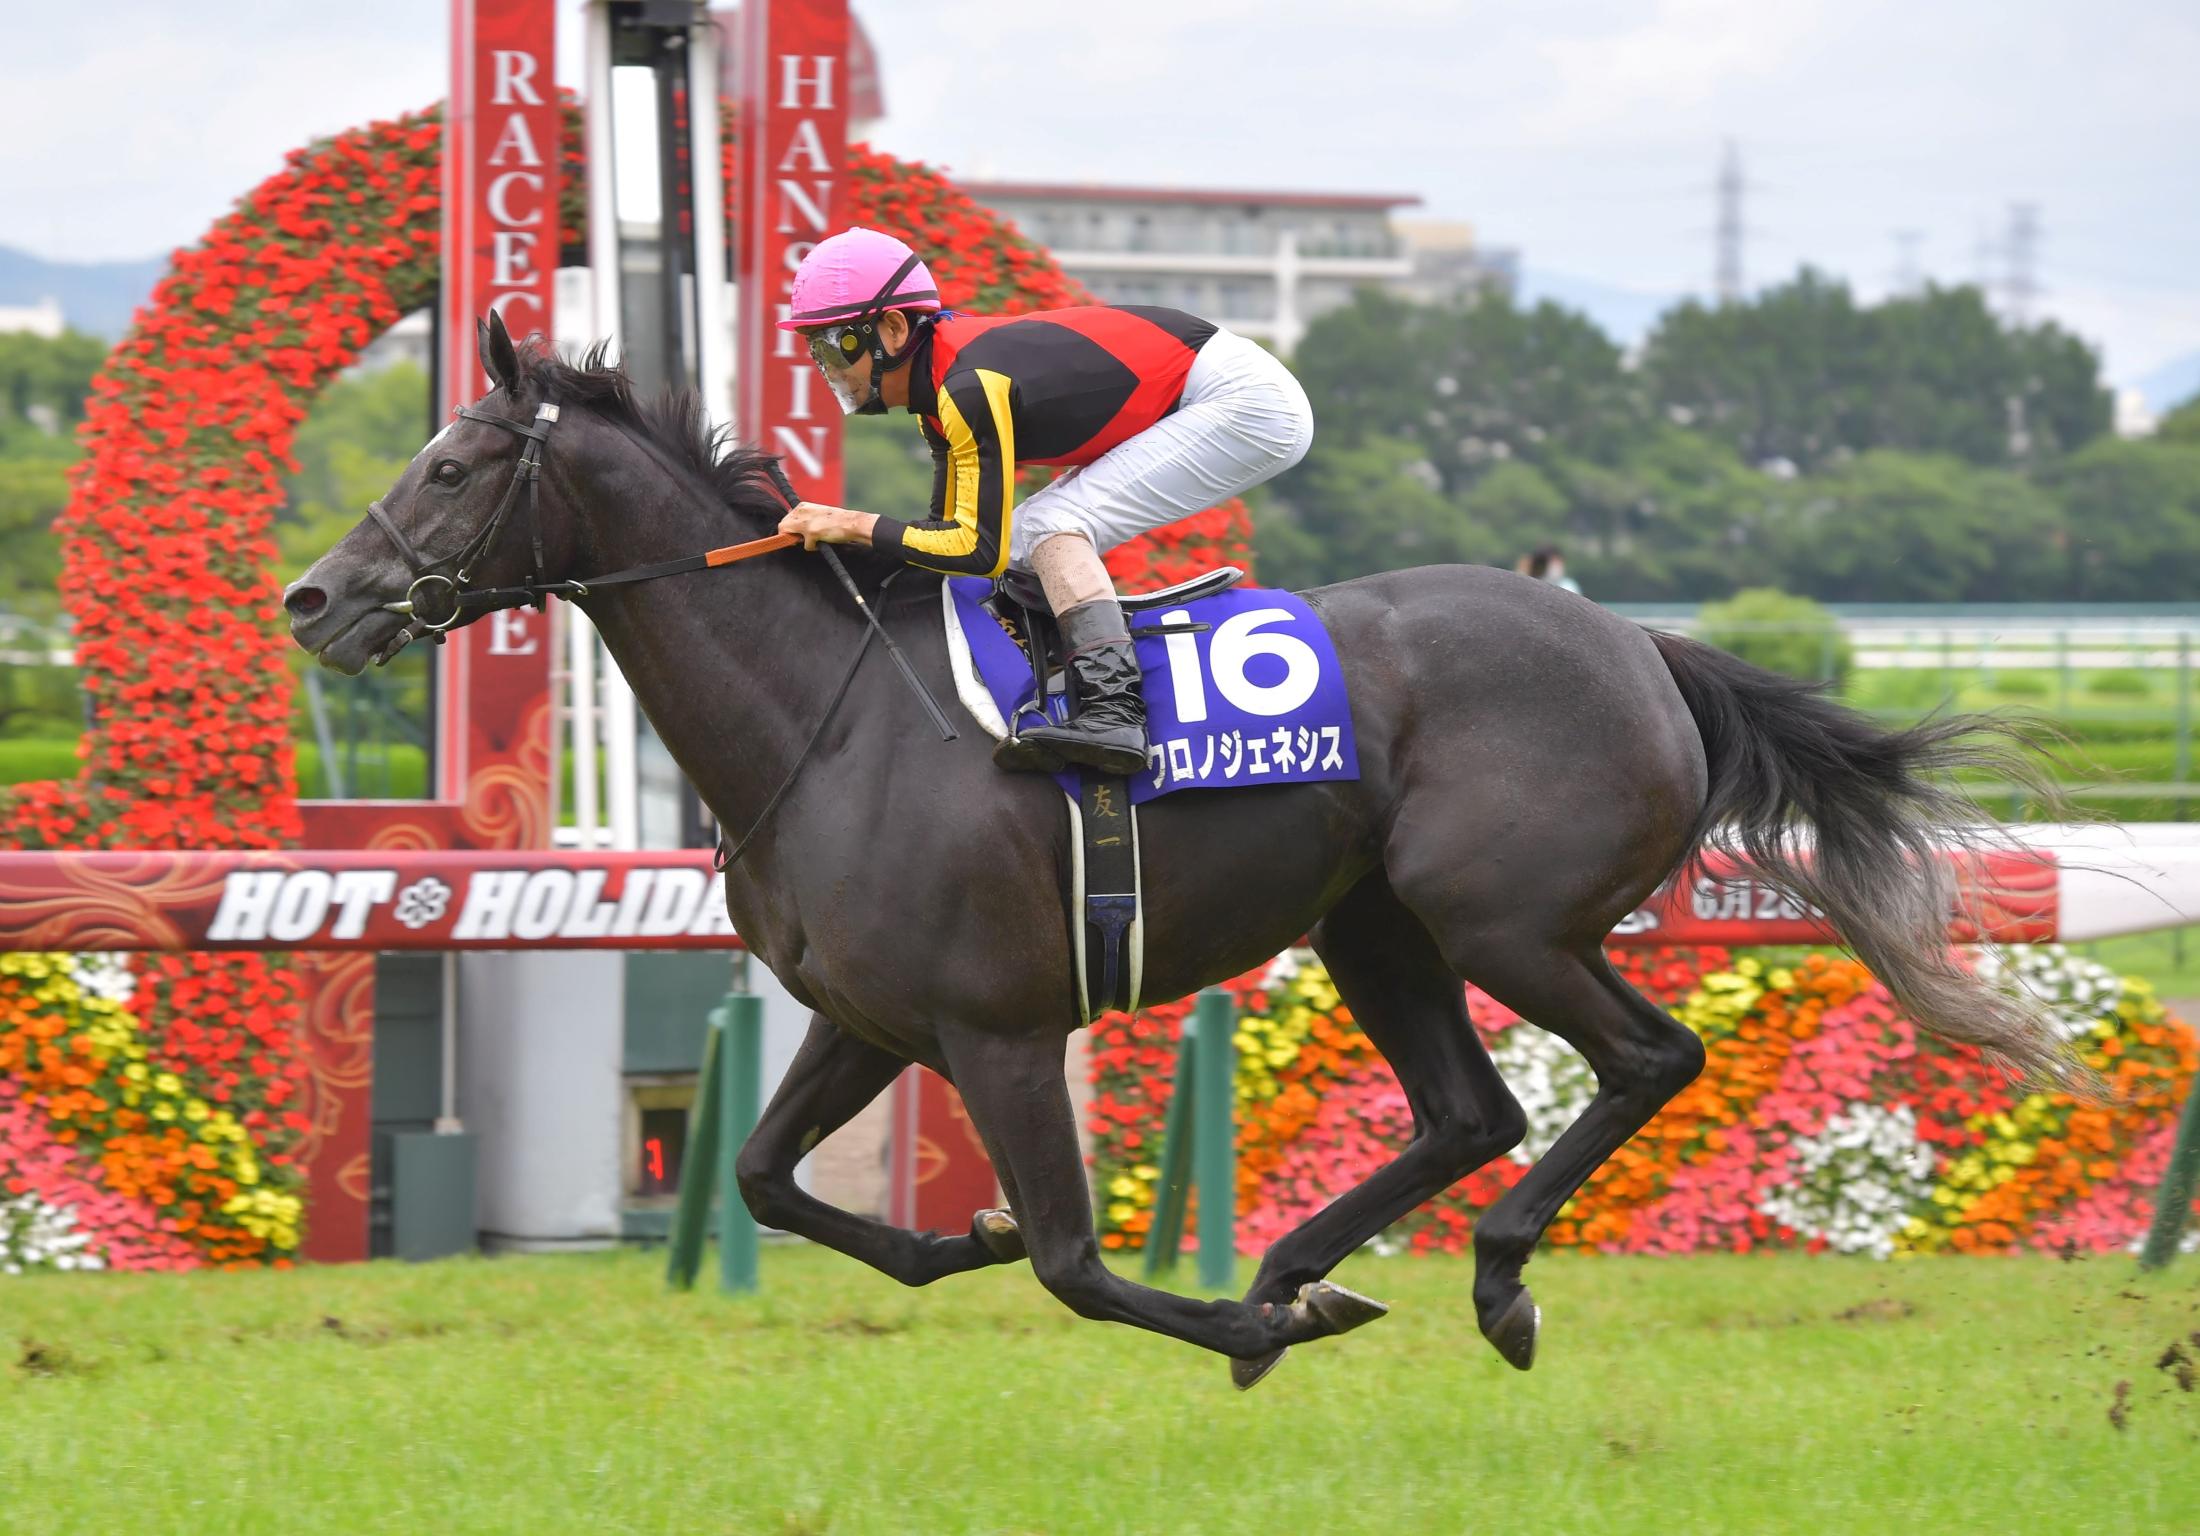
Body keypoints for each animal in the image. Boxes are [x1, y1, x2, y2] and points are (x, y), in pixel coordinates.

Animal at [283, 316, 2050, 1381]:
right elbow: (767, 1177)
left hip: (1506, 921)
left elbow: (1074, 1263)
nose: (315, 598)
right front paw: (978, 1236)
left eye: (452, 466)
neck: (828, 720)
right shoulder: (872, 1017)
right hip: (1374, 925)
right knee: (1469, 1109)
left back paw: (1481, 1279)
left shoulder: (999, 1031)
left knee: (1648, 1060)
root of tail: (1640, 644)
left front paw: (1232, 1321)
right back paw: (1301, 1266)